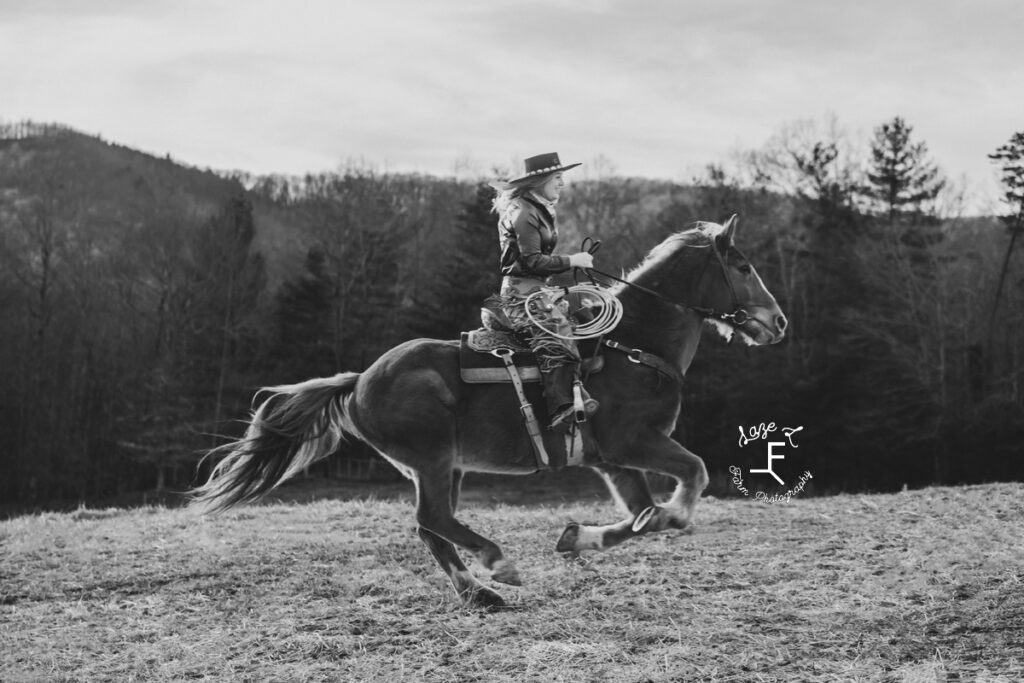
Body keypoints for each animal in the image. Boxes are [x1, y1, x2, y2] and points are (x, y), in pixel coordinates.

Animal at [190, 215, 782, 610]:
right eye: (743, 265)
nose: (777, 322)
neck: (632, 345)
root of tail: (359, 380)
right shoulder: (635, 443)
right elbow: (691, 479)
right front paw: (672, 515)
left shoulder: (613, 461)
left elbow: (641, 518)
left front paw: (579, 538)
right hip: (432, 461)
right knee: (433, 519)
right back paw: (498, 566)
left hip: (444, 466)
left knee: (432, 527)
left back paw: (478, 592)